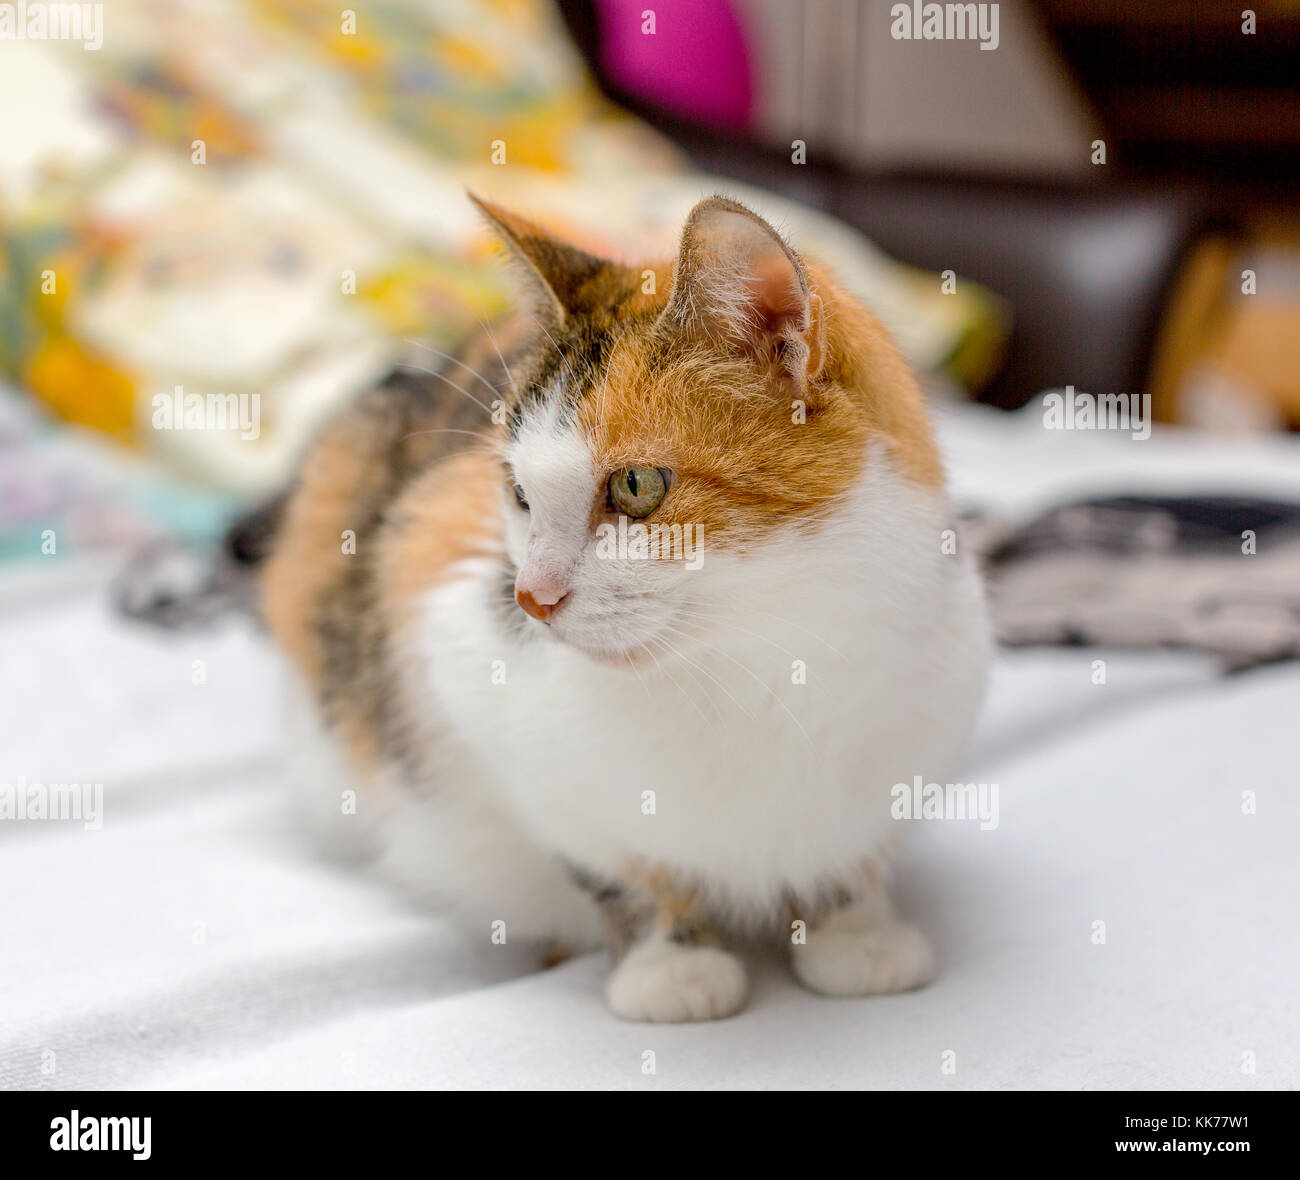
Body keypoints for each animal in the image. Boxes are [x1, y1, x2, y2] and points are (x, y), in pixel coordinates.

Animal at [253, 188, 987, 1018]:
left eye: (637, 486)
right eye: (517, 492)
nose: (530, 597)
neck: (758, 659)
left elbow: (853, 846)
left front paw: (856, 929)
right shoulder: (452, 643)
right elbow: (608, 855)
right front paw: (671, 960)